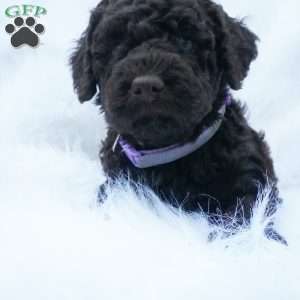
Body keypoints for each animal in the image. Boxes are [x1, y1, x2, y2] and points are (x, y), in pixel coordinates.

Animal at [70, 0, 282, 225]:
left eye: (185, 40)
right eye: (117, 43)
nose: (146, 86)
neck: (168, 152)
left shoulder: (249, 179)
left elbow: (244, 216)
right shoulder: (117, 183)